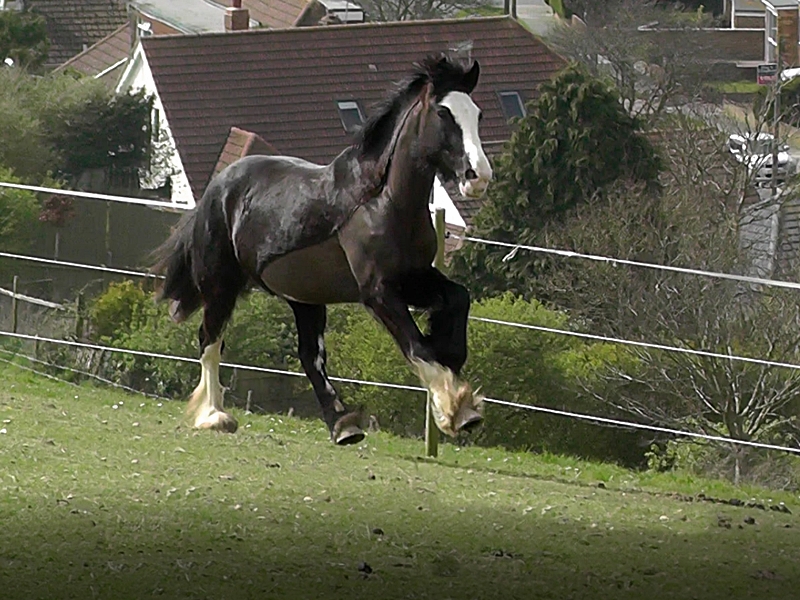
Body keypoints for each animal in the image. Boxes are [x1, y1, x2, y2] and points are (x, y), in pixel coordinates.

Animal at [151, 54, 493, 445]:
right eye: (443, 113)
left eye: (477, 114)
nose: (478, 177)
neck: (383, 201)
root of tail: (217, 187)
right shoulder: (378, 292)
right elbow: (417, 346)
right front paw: (455, 409)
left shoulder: (415, 278)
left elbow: (458, 300)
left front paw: (457, 388)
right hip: (222, 286)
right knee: (210, 341)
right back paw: (214, 415)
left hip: (305, 297)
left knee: (309, 356)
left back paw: (343, 426)